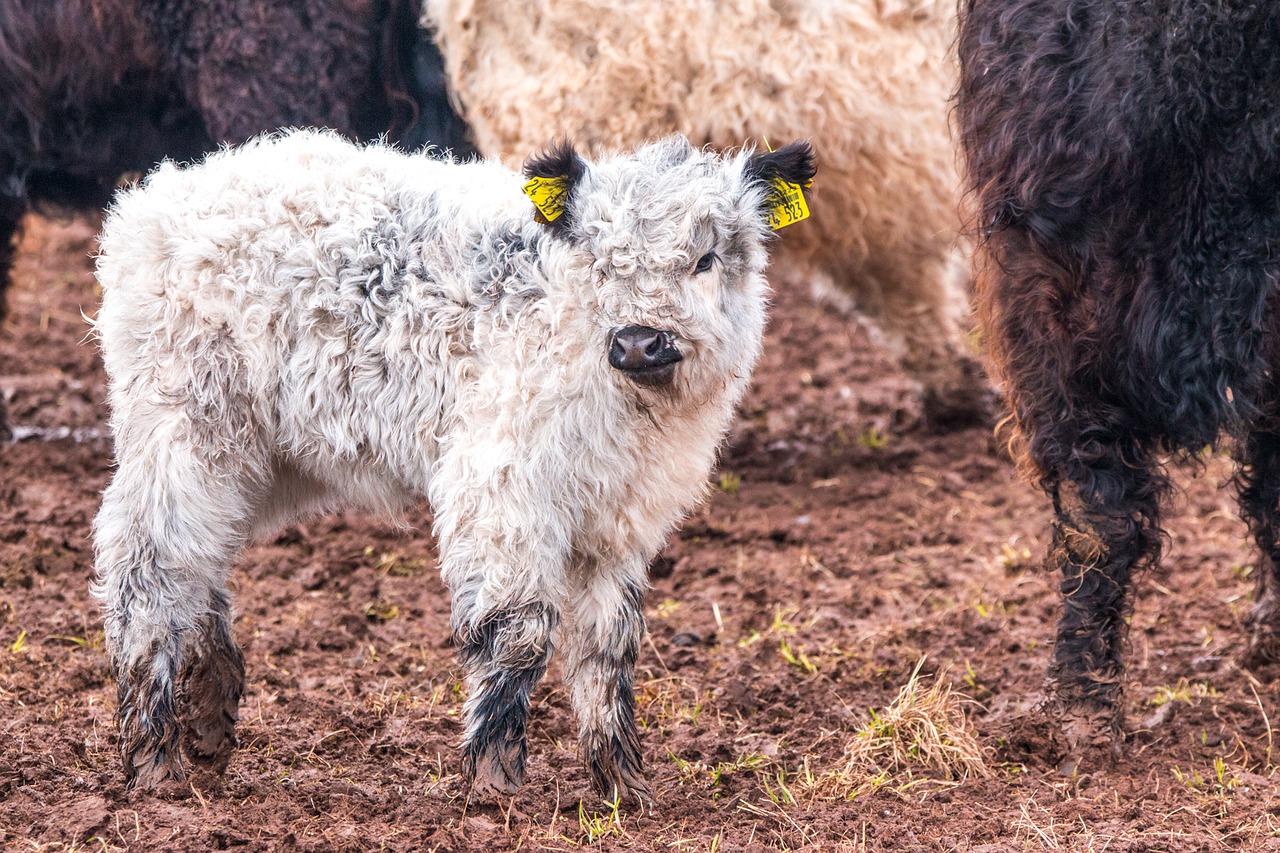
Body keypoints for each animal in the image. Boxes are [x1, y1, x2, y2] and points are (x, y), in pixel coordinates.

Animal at [92, 129, 808, 799]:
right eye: (601, 259)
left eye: (706, 258)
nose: (638, 341)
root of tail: (161, 195)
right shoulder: (501, 486)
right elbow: (519, 632)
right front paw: (496, 779)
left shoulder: (620, 517)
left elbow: (609, 647)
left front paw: (621, 782)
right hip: (184, 430)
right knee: (147, 566)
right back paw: (154, 759)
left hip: (260, 460)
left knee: (200, 561)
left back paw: (209, 718)